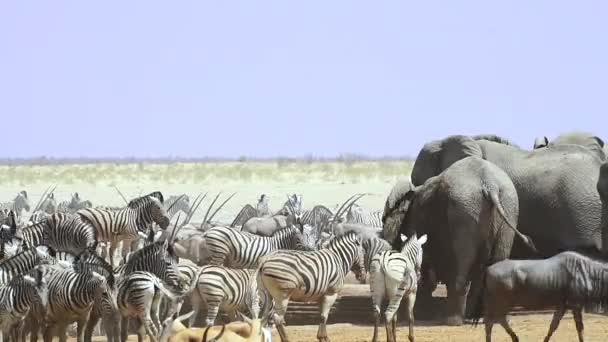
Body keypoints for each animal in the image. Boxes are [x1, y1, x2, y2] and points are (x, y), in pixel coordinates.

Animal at [388, 156, 536, 324]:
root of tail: (490, 184)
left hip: (464, 210)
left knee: (460, 266)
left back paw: (451, 321)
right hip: (507, 207)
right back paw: (488, 318)